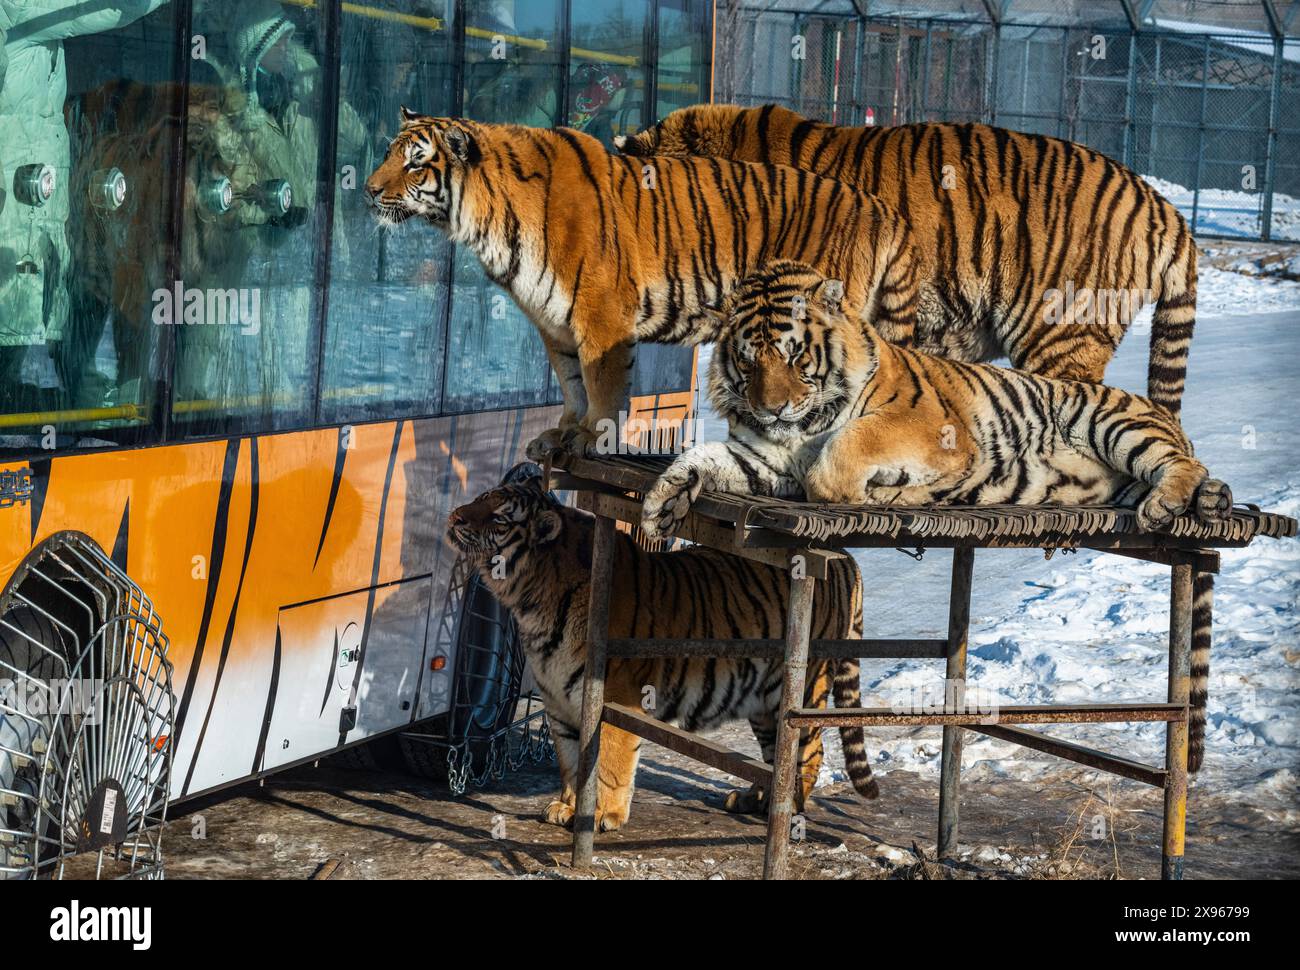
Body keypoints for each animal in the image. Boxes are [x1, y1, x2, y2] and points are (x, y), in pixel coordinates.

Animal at [361, 107, 920, 455]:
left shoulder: (600, 311)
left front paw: (591, 438)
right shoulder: (551, 321)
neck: (486, 218)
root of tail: (885, 210)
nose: (367, 189)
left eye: (415, 162)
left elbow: (602, 384)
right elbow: (570, 383)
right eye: (389, 153)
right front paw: (562, 433)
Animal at [447, 470, 883, 832]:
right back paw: (754, 800)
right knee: (776, 757)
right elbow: (571, 761)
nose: (454, 517)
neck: (531, 599)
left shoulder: (615, 697)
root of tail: (846, 557)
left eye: (500, 519)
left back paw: (789, 810)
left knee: (807, 754)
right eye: (482, 498)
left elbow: (608, 763)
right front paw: (566, 807)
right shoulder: (558, 703)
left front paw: (601, 815)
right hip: (765, 701)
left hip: (803, 688)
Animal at [644, 262, 1232, 769]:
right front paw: (660, 504)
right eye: (749, 362)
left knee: (1185, 465)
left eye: (794, 357)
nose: (771, 409)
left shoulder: (927, 430)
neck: (800, 428)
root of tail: (1168, 419)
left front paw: (865, 490)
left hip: (1112, 421)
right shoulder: (762, 458)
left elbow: (840, 452)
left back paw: (1169, 502)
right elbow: (699, 459)